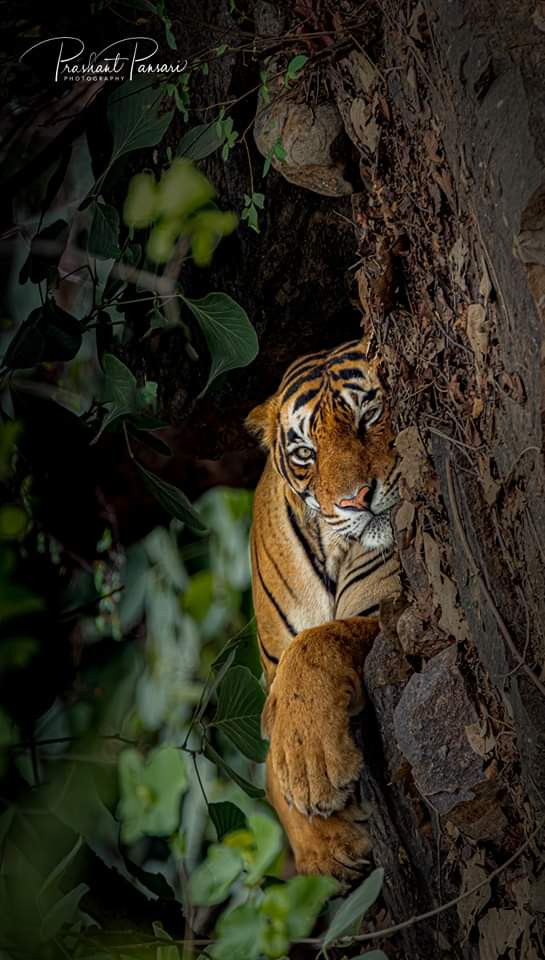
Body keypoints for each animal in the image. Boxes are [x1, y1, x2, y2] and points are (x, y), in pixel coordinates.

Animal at [246, 336, 400, 876]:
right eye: (305, 453)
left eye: (369, 414)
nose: (357, 500)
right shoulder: (272, 672)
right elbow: (271, 771)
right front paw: (325, 846)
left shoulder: (388, 606)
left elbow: (317, 645)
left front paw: (311, 763)